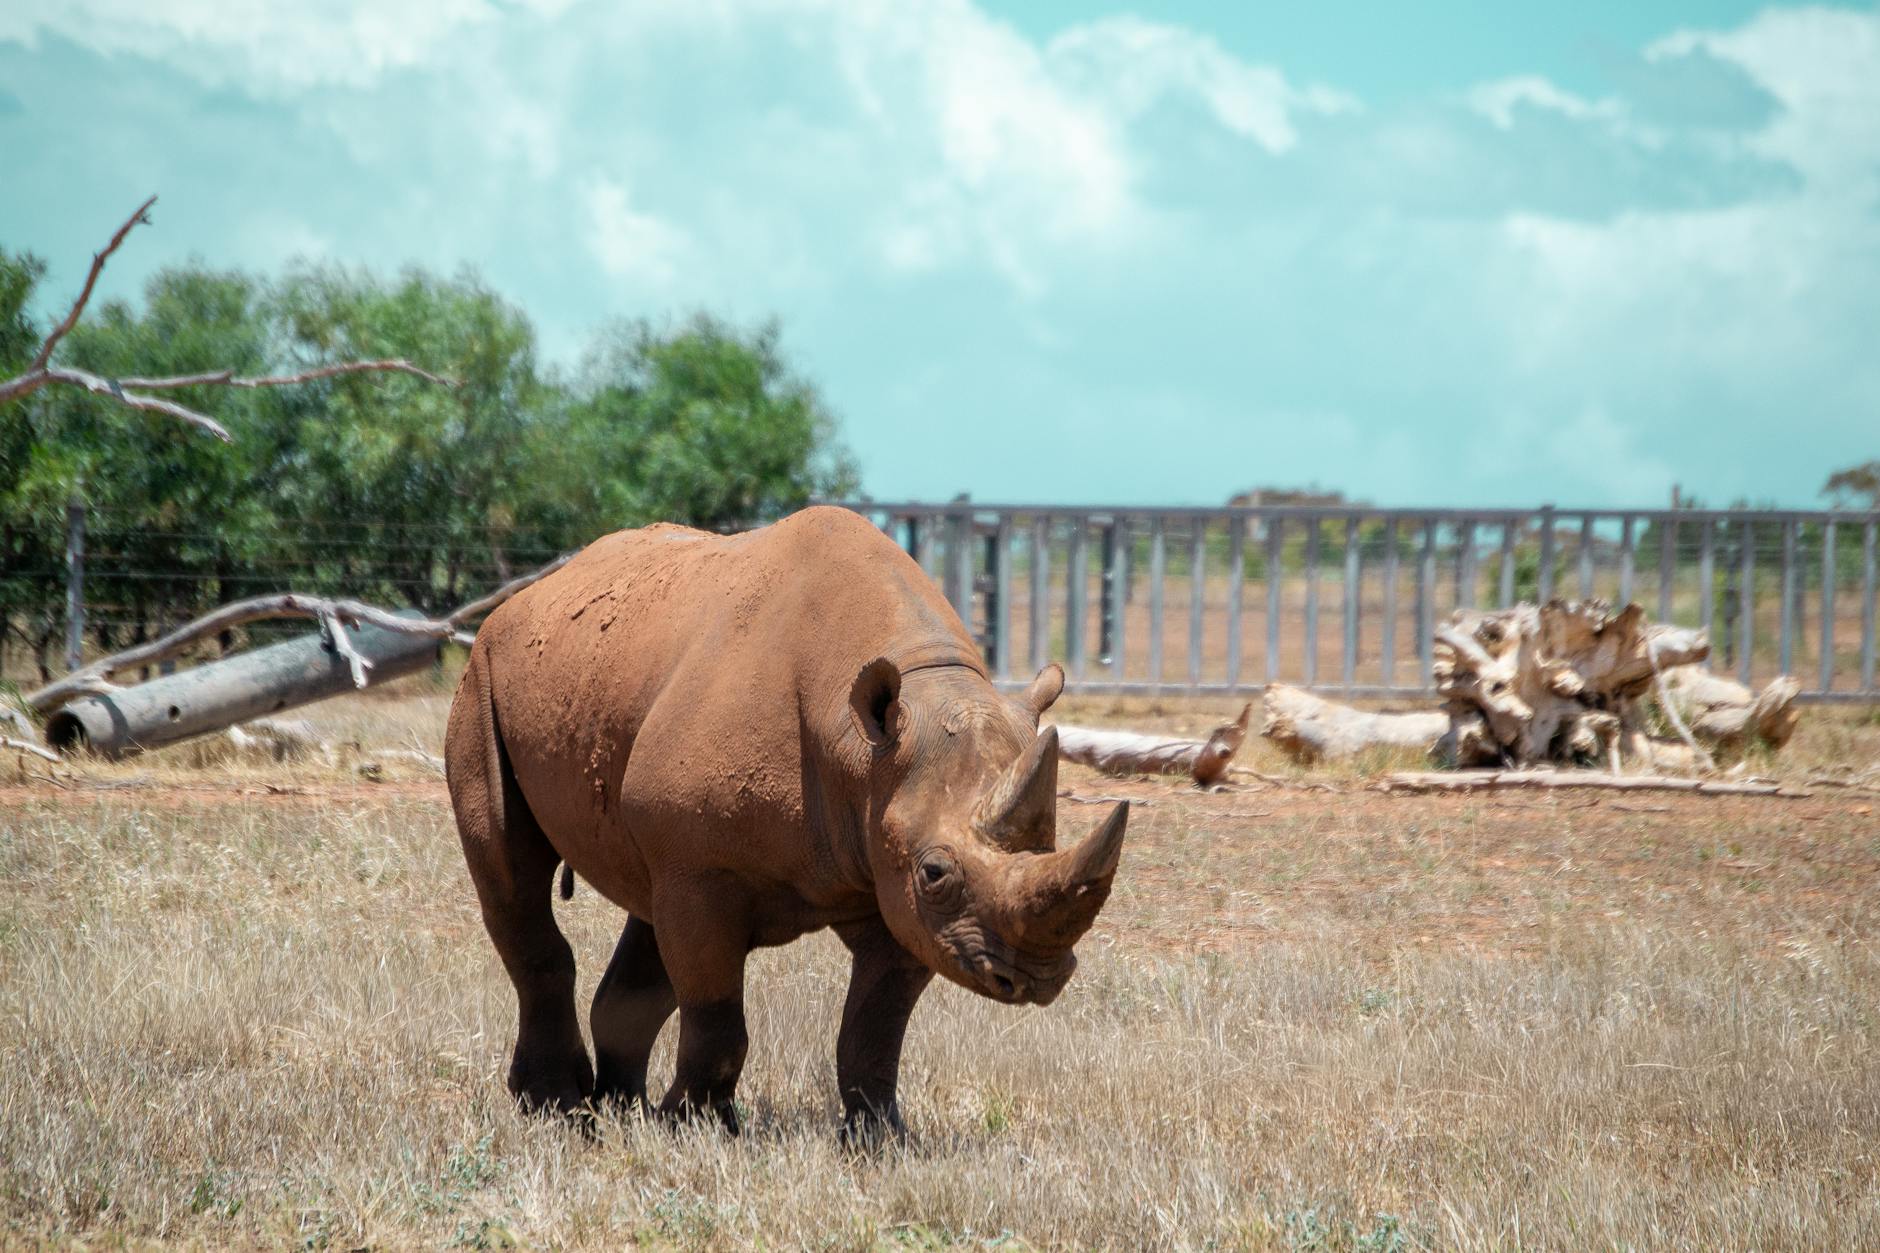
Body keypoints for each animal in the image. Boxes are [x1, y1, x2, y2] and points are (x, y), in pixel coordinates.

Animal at [444, 505, 1128, 1140]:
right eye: (936, 872)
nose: (1035, 978)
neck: (864, 748)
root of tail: (529, 597)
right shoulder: (710, 870)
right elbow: (717, 1015)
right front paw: (698, 1131)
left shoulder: (890, 878)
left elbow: (875, 1027)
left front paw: (881, 1142)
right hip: (483, 674)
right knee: (514, 876)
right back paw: (559, 1111)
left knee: (645, 910)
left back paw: (617, 1109)